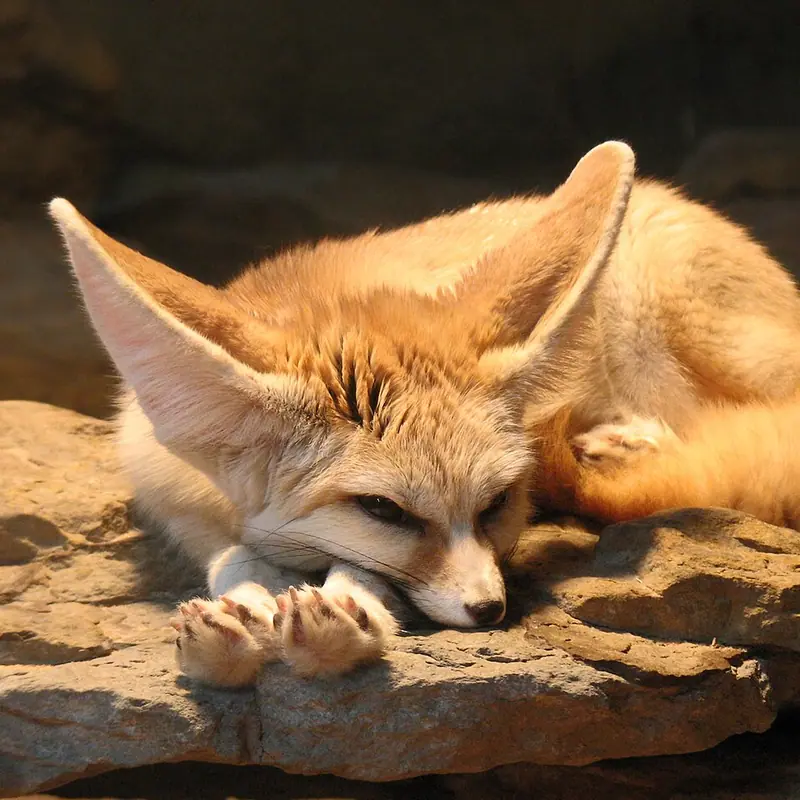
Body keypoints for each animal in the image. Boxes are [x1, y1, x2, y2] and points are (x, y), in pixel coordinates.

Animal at [48, 141, 800, 689]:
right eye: (384, 511)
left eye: (498, 504)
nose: (490, 610)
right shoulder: (174, 501)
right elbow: (230, 557)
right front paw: (242, 607)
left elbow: (364, 574)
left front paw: (342, 614)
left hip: (689, 320)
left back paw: (635, 441)